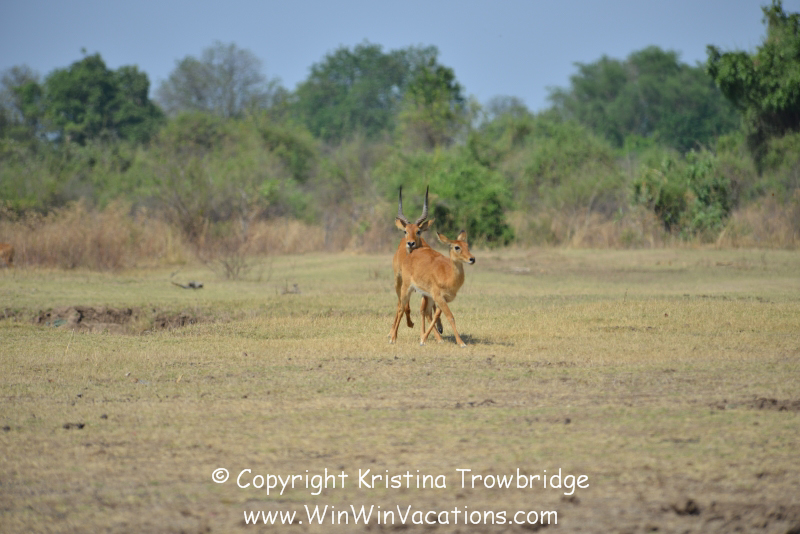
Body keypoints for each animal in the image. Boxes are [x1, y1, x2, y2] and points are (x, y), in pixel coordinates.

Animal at [390, 187, 443, 340]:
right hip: (398, 282)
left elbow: (426, 309)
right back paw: (394, 331)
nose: (410, 243)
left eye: (418, 231)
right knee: (400, 304)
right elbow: (405, 306)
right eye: (405, 231)